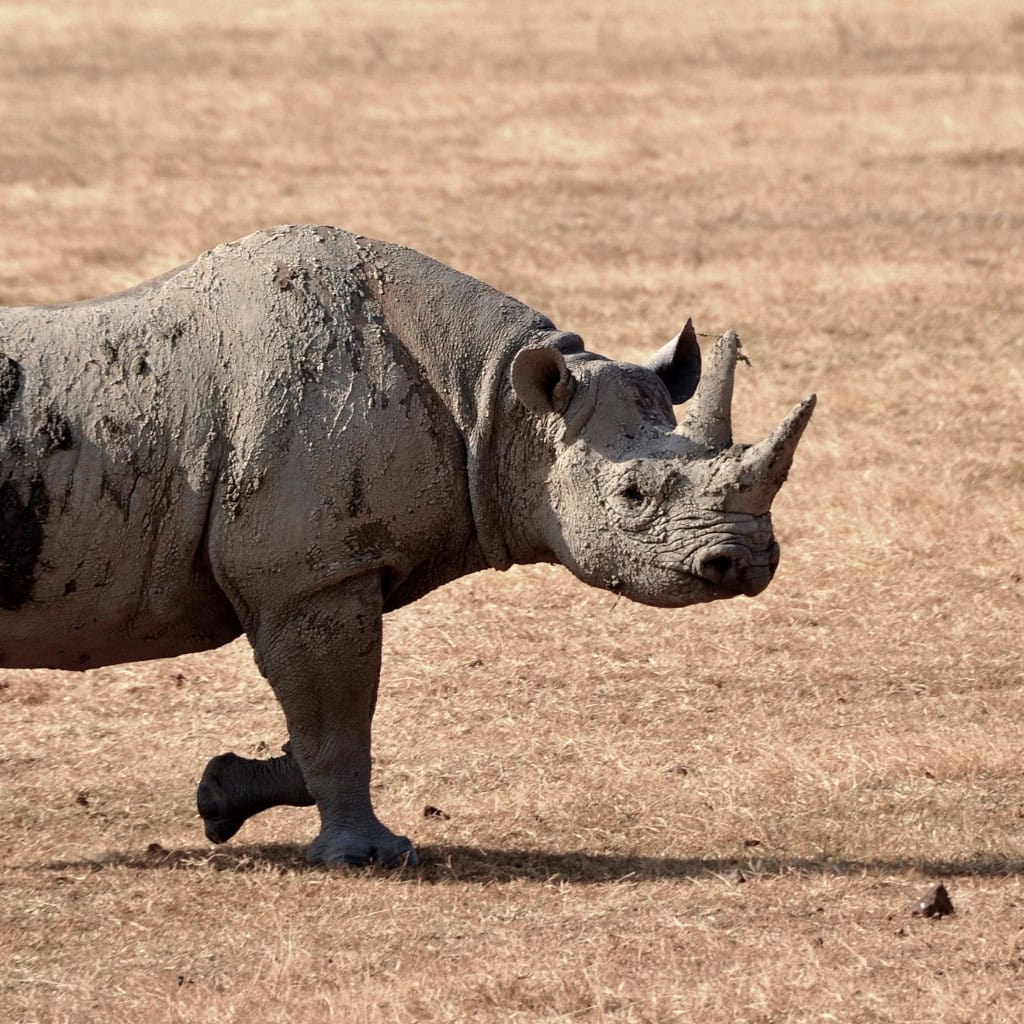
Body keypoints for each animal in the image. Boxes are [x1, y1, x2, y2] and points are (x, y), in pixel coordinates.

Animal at [0, 225, 814, 866]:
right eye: (633, 497)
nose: (745, 562)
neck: (498, 403)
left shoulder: (316, 574)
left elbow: (320, 723)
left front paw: (220, 795)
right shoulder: (313, 575)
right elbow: (340, 719)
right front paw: (369, 856)